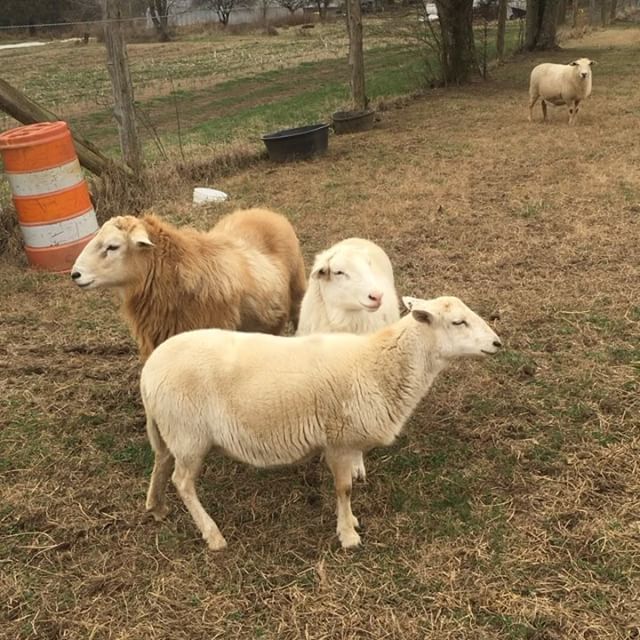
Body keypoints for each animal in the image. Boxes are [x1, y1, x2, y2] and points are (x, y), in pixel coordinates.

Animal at [140, 295, 502, 551]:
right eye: (458, 322)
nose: (498, 343)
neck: (380, 364)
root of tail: (149, 372)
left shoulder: (348, 442)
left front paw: (352, 523)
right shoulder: (339, 440)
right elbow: (344, 489)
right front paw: (348, 535)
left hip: (170, 430)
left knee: (161, 462)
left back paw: (156, 508)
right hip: (189, 435)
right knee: (183, 482)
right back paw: (212, 535)